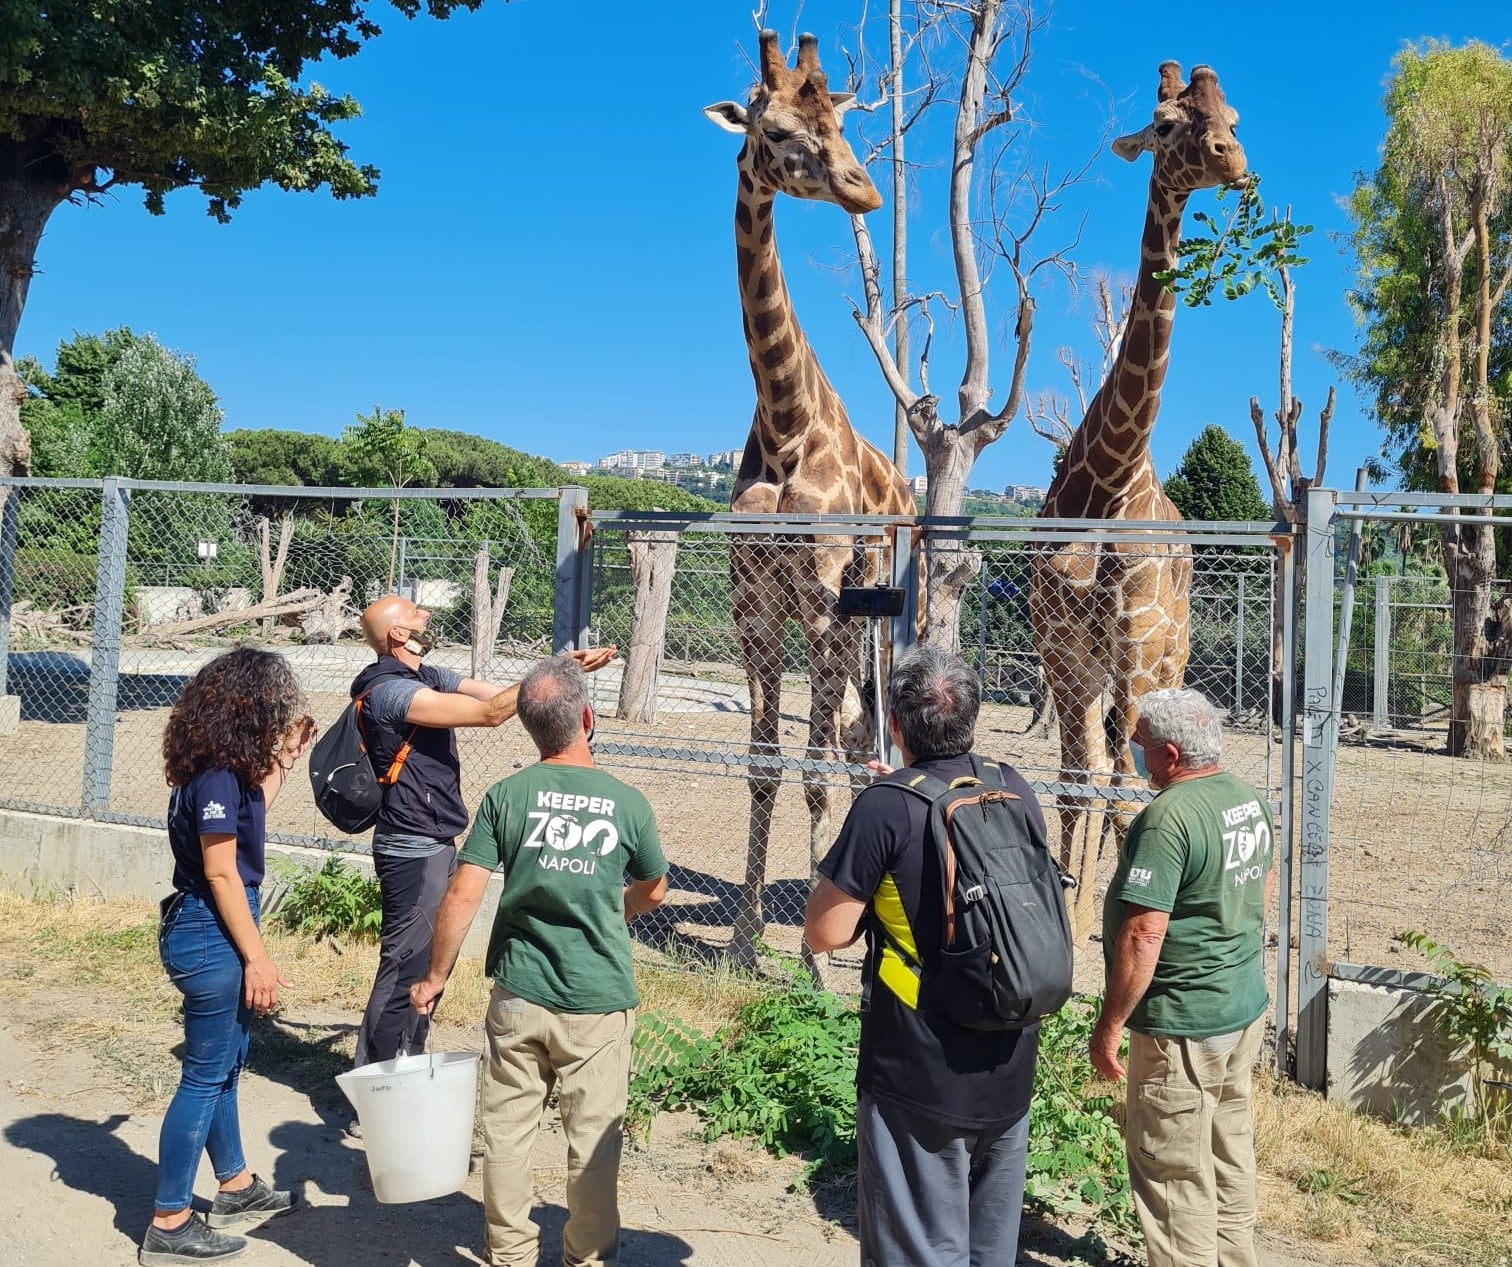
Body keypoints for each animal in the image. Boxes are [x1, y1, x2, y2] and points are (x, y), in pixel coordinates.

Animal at [1028, 61, 1251, 943]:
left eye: (1231, 115)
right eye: (1163, 124)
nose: (1233, 161)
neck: (1108, 476)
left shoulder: (1129, 645)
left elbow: (1123, 779)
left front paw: (1109, 906)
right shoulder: (1062, 651)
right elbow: (1076, 776)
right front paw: (1068, 897)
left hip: (1168, 656)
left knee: (1146, 765)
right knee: (1100, 764)